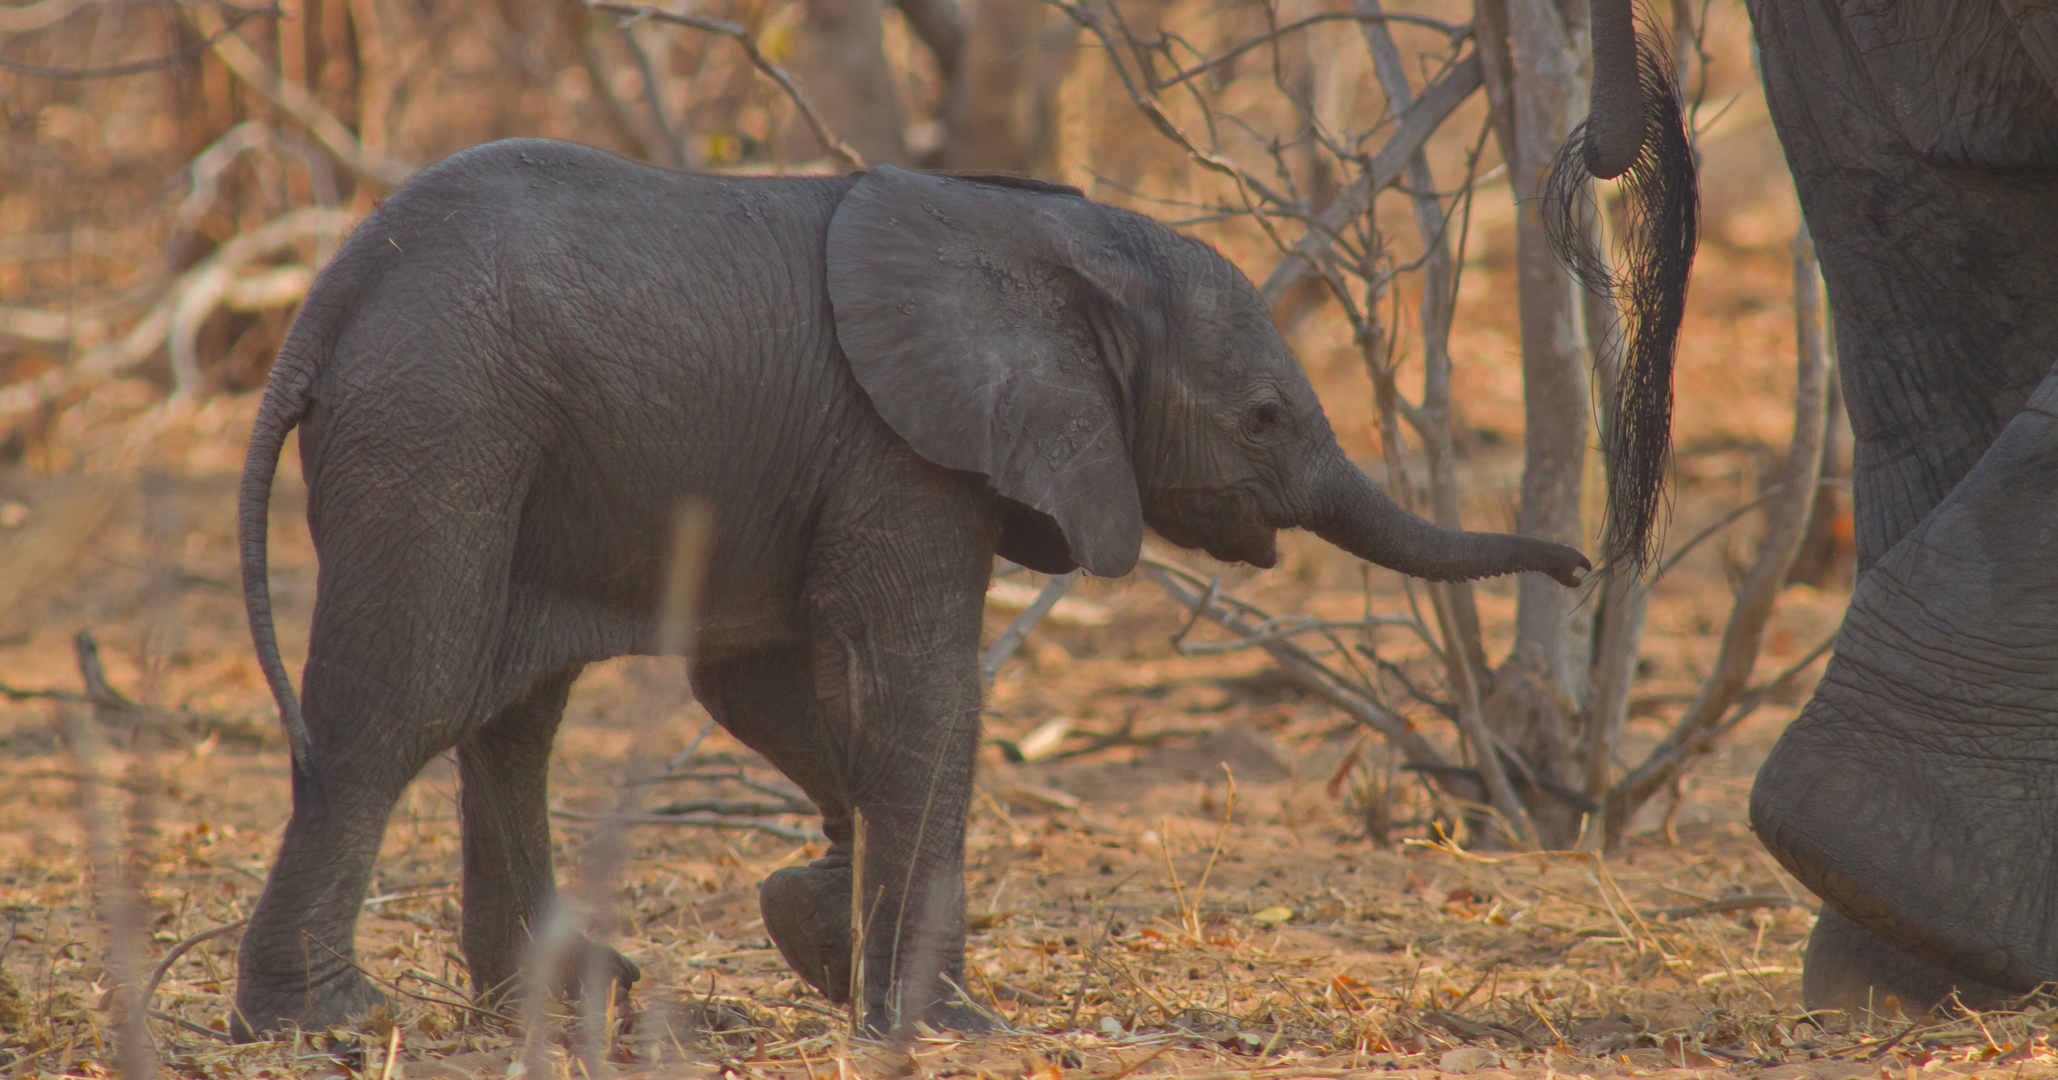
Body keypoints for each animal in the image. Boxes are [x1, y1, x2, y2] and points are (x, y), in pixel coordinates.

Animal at [240, 136, 1588, 1036]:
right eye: (1262, 419)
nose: (1580, 566)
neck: (1063, 247)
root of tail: (328, 298)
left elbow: (764, 685)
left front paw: (818, 934)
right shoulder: (905, 444)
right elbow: (915, 691)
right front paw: (948, 1026)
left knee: (512, 719)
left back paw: (568, 1009)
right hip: (441, 423)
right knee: (399, 709)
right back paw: (330, 1023)